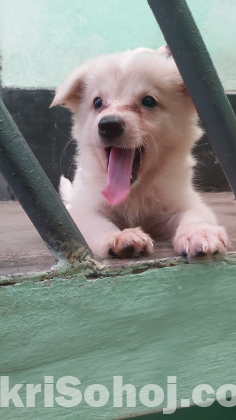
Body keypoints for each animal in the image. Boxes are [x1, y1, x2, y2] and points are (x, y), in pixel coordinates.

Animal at [51, 45, 229, 256]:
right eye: (97, 102)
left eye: (149, 101)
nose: (109, 125)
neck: (134, 191)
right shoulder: (83, 211)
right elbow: (98, 225)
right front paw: (120, 237)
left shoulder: (184, 201)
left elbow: (194, 215)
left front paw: (199, 233)